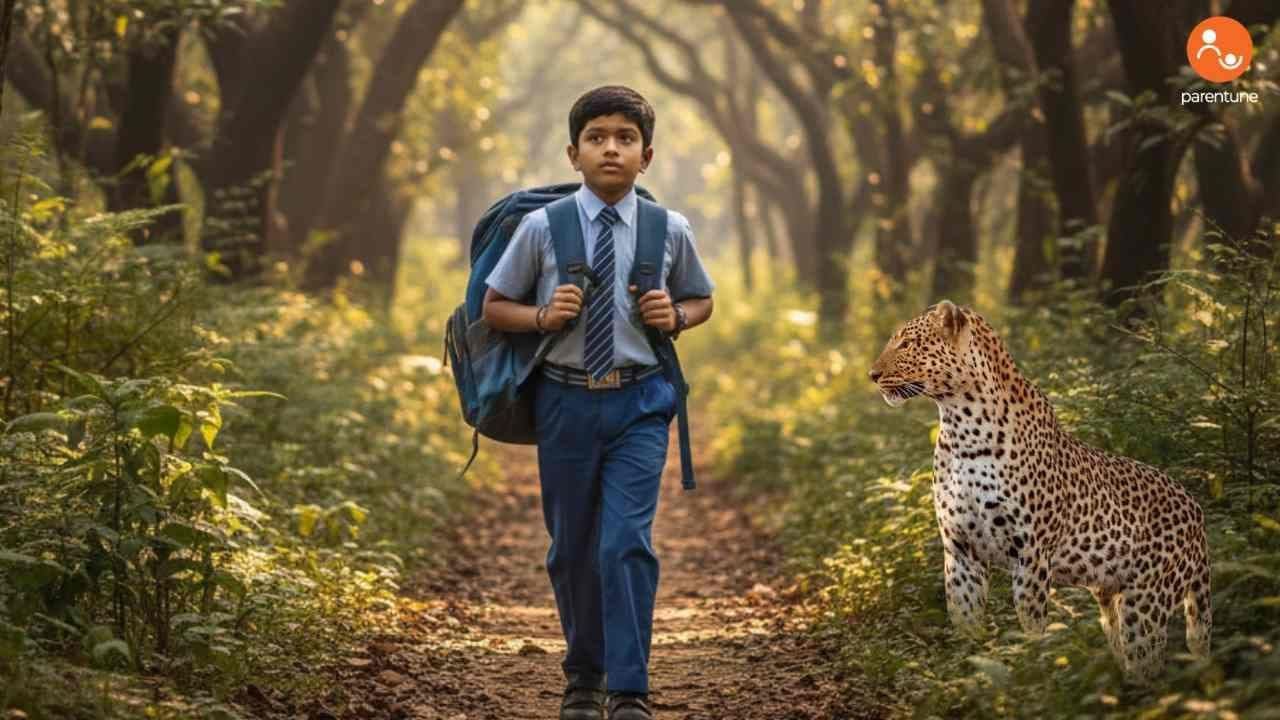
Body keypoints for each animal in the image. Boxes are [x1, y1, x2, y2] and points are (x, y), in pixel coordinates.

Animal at [868, 300, 1211, 681]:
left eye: (906, 344)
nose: (872, 374)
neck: (962, 428)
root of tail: (1196, 511)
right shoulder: (960, 551)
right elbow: (964, 621)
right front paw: (966, 673)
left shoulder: (1030, 552)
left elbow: (1031, 626)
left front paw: (1031, 671)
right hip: (1114, 600)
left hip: (1146, 602)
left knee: (1148, 663)